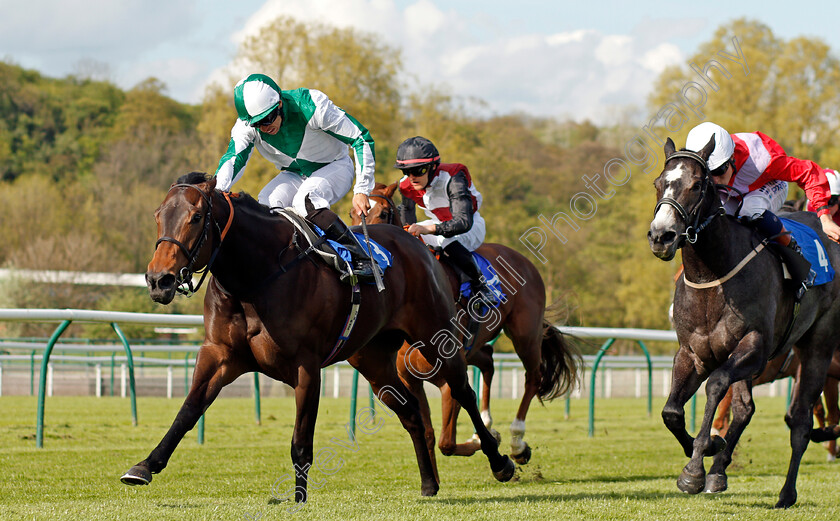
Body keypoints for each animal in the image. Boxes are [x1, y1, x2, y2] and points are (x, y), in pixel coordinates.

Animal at [117, 173, 512, 502]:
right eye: (158, 215)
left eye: (196, 217)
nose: (159, 280)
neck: (255, 278)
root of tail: (415, 243)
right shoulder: (220, 355)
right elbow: (187, 412)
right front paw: (144, 466)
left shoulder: (306, 366)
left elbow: (301, 442)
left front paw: (299, 500)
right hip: (372, 361)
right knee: (412, 412)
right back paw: (429, 483)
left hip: (434, 337)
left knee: (464, 391)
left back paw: (500, 461)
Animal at [352, 182, 580, 472]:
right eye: (352, 213)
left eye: (382, 213)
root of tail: (523, 260)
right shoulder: (410, 379)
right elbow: (429, 434)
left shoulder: (449, 379)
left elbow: (446, 442)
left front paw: (491, 447)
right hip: (476, 344)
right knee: (489, 360)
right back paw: (489, 425)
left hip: (525, 334)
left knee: (533, 377)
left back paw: (517, 442)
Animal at [648, 138, 840, 508]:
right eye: (658, 184)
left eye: (697, 185)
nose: (661, 236)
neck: (712, 275)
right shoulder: (692, 353)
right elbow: (672, 412)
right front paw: (710, 449)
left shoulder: (754, 347)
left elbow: (716, 386)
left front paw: (694, 470)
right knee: (746, 408)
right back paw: (720, 471)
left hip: (818, 345)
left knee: (799, 420)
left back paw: (786, 493)